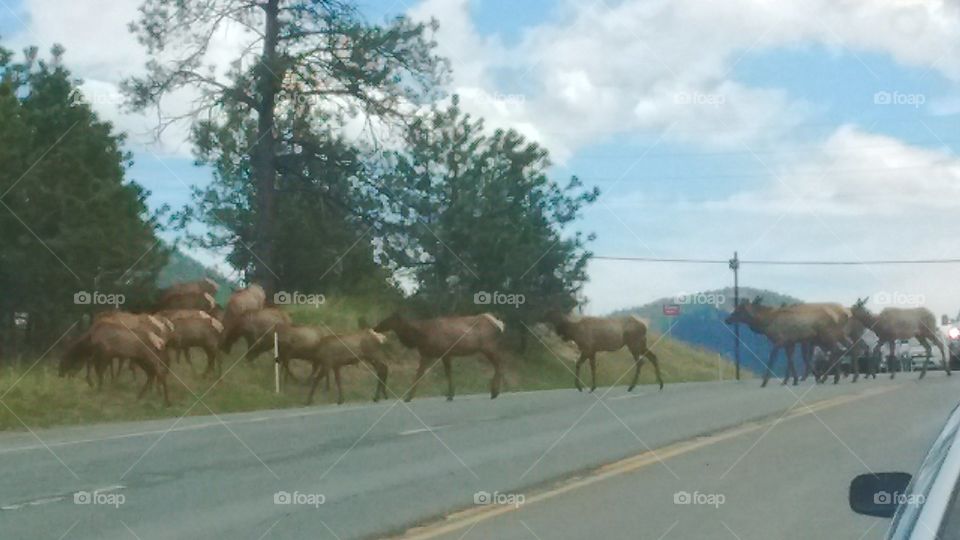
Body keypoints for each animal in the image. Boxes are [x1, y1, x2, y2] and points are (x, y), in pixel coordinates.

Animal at [374, 311, 505, 402]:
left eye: (388, 319)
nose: (375, 327)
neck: (418, 337)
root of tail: (499, 324)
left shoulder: (438, 352)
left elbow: (424, 374)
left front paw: (408, 397)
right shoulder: (434, 354)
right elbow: (428, 373)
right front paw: (450, 394)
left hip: (488, 347)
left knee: (499, 364)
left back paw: (494, 392)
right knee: (499, 364)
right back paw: (495, 391)